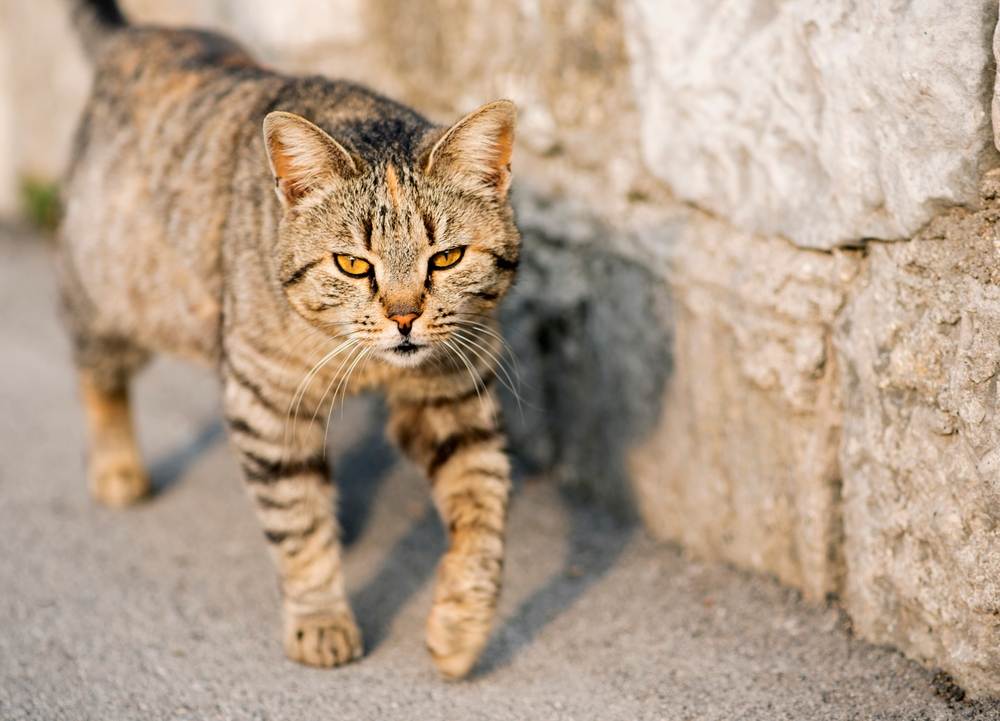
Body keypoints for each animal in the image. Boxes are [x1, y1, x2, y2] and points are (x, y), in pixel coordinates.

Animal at [58, 0, 520, 676]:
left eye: (447, 258)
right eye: (353, 264)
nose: (404, 317)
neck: (370, 363)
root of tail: (138, 34)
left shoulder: (454, 400)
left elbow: (483, 516)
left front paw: (460, 629)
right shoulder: (265, 402)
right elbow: (297, 526)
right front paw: (321, 620)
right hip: (112, 297)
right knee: (96, 369)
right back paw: (117, 467)